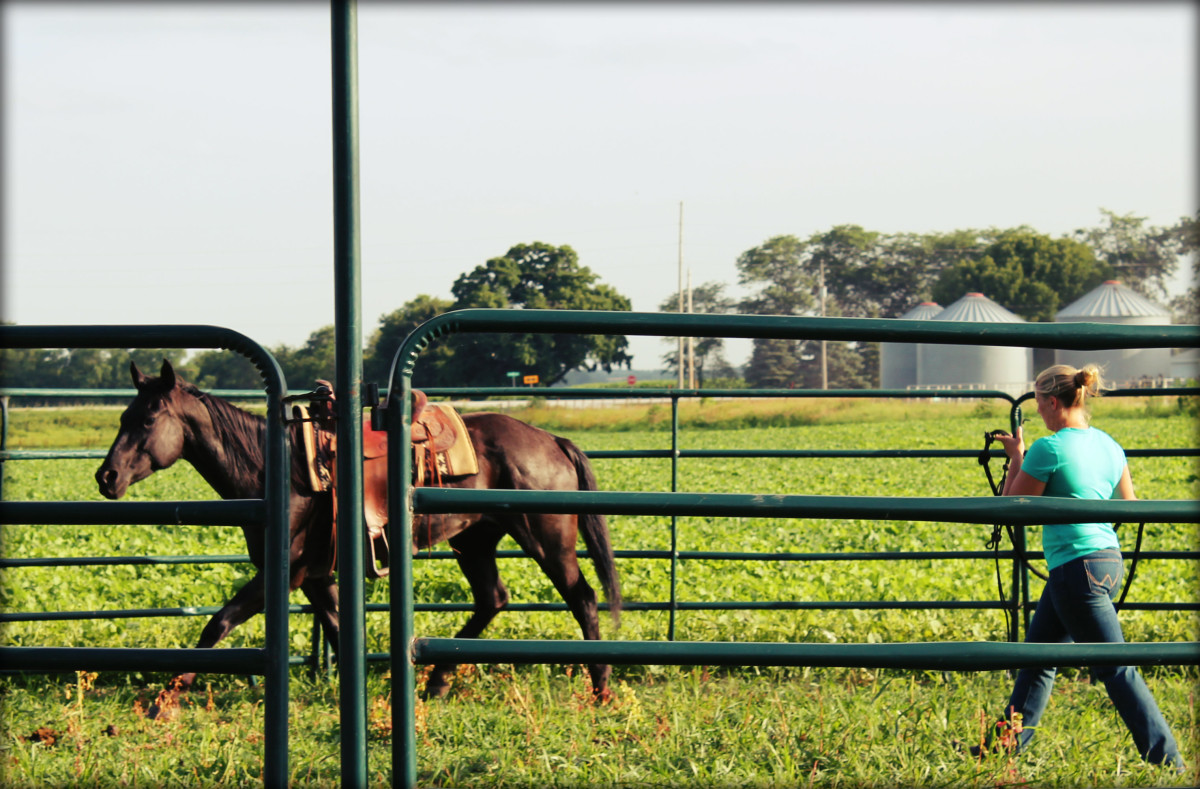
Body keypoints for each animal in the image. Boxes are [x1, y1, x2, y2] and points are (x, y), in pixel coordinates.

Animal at [96, 359, 619, 695]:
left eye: (148, 419)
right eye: (122, 416)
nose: (107, 477)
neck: (281, 470)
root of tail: (550, 439)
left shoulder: (283, 575)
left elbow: (217, 623)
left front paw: (170, 695)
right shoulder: (316, 578)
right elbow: (335, 629)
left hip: (547, 540)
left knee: (583, 598)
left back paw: (600, 686)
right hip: (475, 540)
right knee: (493, 599)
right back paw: (438, 681)